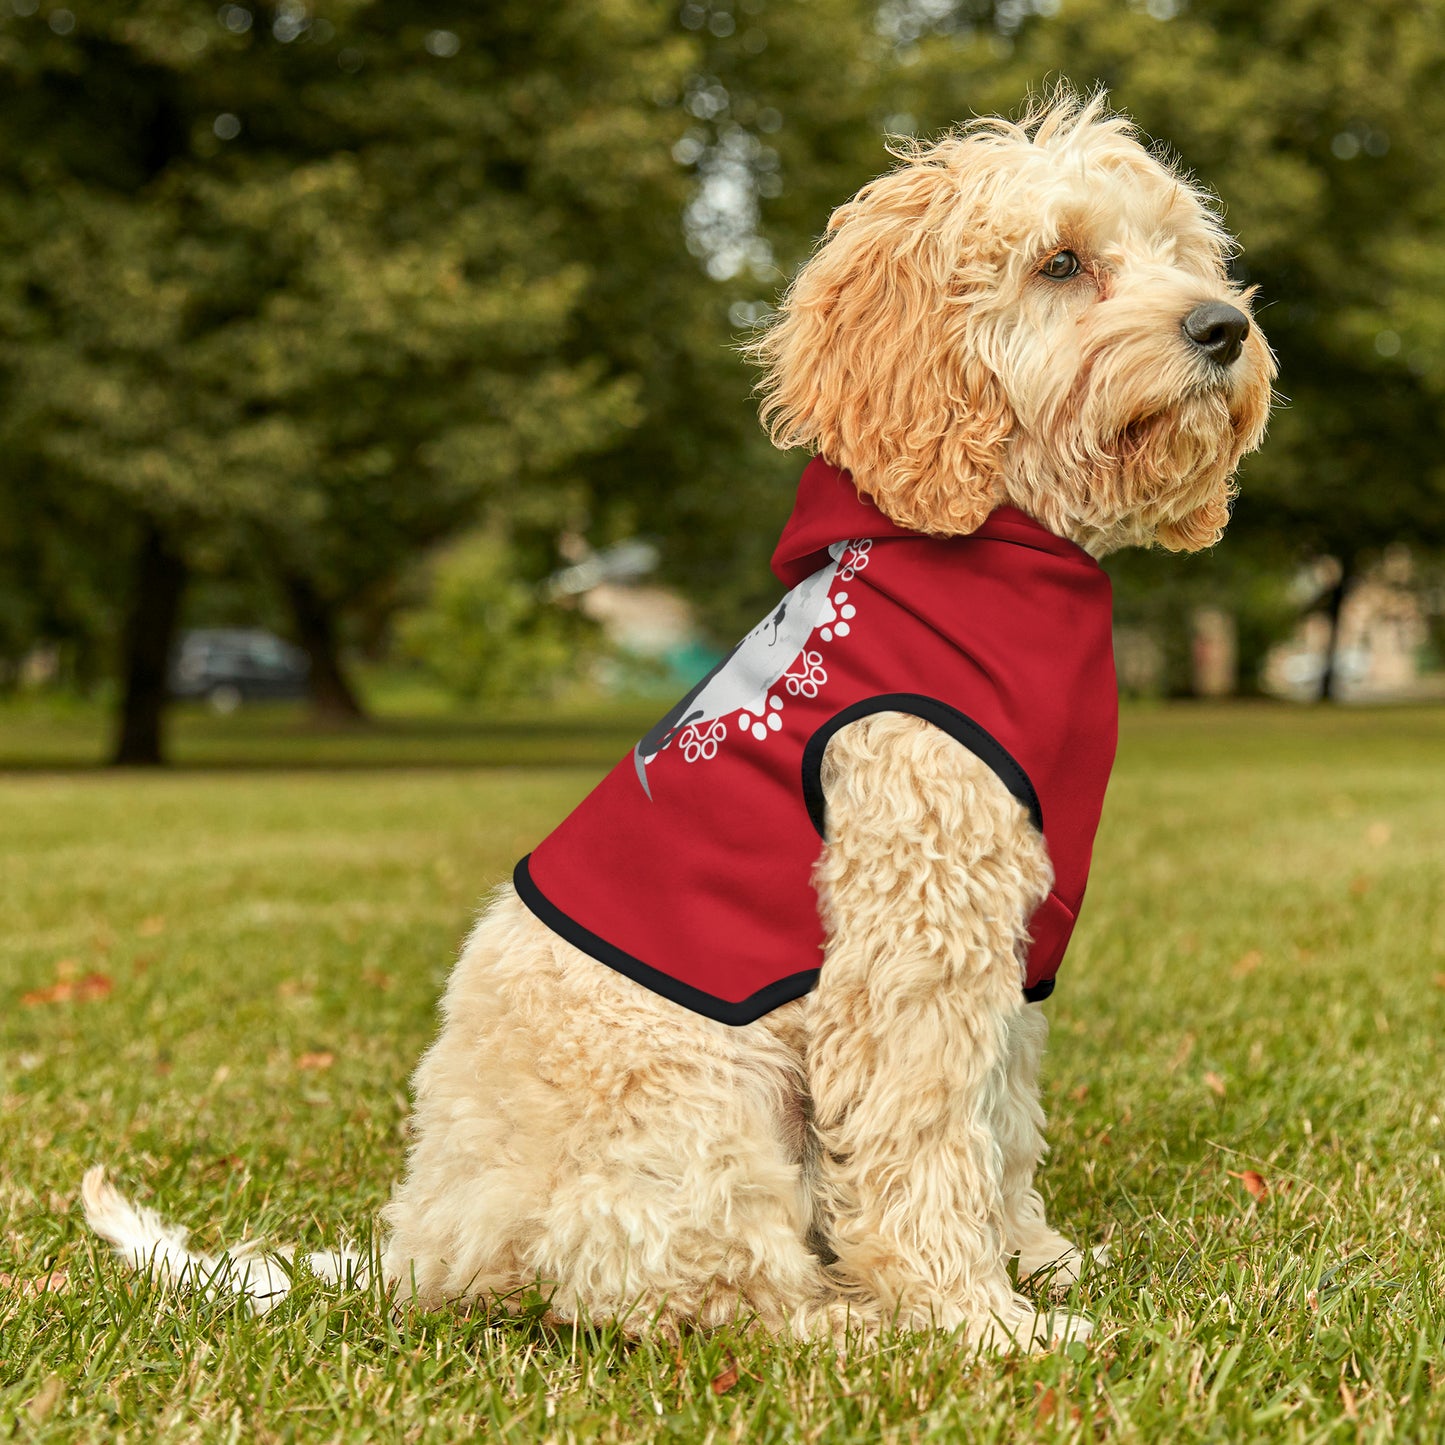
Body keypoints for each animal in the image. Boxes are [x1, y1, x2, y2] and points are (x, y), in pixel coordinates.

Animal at [84, 93, 1271, 1352]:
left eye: (1180, 252)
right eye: (1059, 262)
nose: (1222, 327)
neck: (994, 549)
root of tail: (424, 1246)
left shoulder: (1011, 941)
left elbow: (999, 1119)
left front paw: (1034, 1259)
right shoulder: (912, 935)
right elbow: (924, 1138)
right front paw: (976, 1318)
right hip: (703, 1102)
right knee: (700, 1291)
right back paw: (853, 1322)